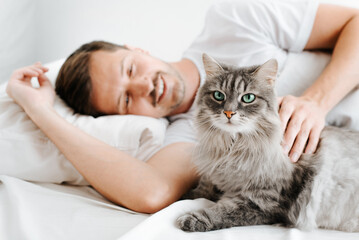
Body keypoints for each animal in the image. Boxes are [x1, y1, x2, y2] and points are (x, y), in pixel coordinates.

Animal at [177, 53, 359, 232]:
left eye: (248, 97)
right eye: (218, 95)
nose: (228, 113)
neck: (234, 148)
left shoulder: (263, 200)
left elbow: (221, 211)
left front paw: (191, 219)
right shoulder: (216, 174)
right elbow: (203, 188)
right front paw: (185, 196)